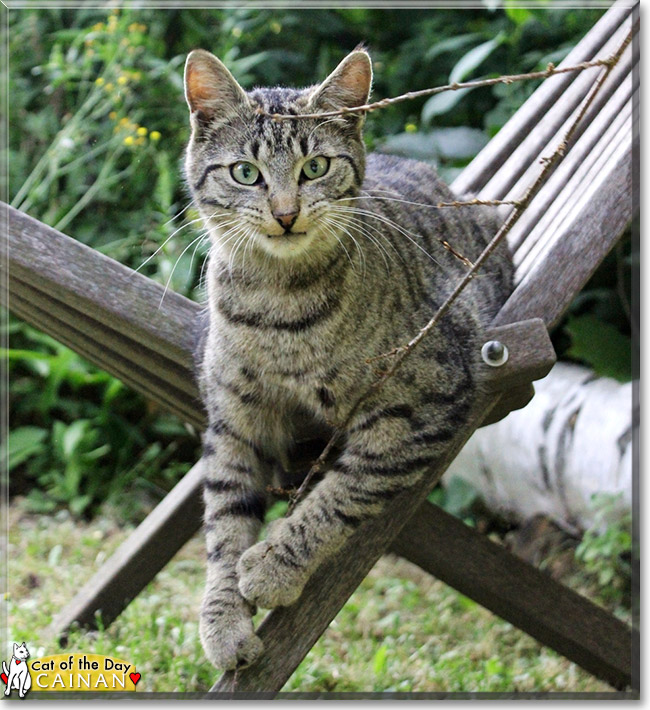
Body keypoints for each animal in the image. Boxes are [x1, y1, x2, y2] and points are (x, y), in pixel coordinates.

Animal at [182, 47, 512, 672]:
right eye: (245, 173)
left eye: (315, 168)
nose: (286, 213)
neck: (279, 306)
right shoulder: (235, 419)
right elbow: (224, 518)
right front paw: (222, 618)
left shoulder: (424, 401)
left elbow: (338, 496)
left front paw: (273, 567)